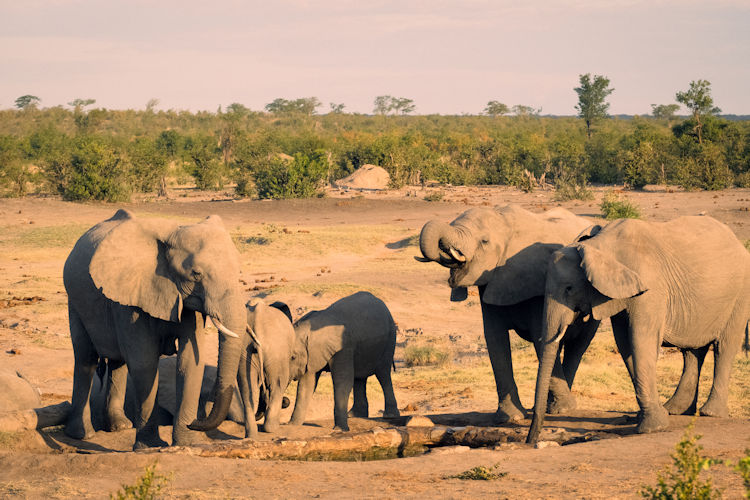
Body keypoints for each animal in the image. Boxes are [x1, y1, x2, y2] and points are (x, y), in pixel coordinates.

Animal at [64, 209, 249, 449]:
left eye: (238, 270)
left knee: (117, 362)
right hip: (75, 302)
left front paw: (189, 443)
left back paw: (120, 426)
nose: (195, 422)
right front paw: (150, 446)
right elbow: (145, 363)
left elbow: (191, 363)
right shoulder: (130, 297)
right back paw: (83, 435)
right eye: (196, 274)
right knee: (85, 359)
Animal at [237, 298, 296, 437]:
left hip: (245, 351)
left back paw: (251, 435)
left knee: (247, 388)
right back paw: (272, 428)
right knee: (278, 384)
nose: (286, 401)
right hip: (276, 352)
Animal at [288, 291, 400, 431]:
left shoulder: (343, 348)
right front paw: (292, 425)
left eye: (293, 357)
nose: (285, 401)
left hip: (390, 339)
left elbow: (343, 380)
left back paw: (390, 416)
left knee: (383, 374)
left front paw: (340, 430)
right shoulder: (312, 355)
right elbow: (307, 383)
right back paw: (354, 415)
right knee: (359, 377)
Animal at [417, 205, 600, 423]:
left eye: (484, 241)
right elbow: (495, 339)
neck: (505, 223)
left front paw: (563, 409)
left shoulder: (536, 282)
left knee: (578, 345)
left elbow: (541, 338)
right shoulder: (491, 281)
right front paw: (510, 417)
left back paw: (557, 408)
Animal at [527, 216, 750, 443]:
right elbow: (625, 344)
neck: (600, 246)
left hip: (741, 293)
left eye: (569, 289)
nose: (531, 440)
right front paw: (653, 417)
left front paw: (652, 427)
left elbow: (641, 340)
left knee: (724, 347)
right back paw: (676, 409)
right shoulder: (619, 294)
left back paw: (710, 413)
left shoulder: (650, 289)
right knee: (692, 352)